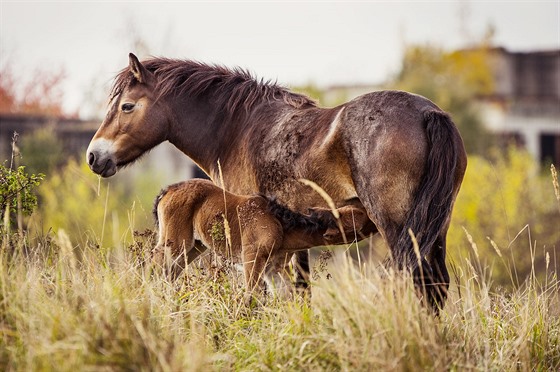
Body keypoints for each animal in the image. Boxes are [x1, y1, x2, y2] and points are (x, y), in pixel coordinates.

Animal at [153, 179, 372, 298]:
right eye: (359, 215)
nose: (372, 212)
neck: (281, 225)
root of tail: (168, 189)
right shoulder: (252, 259)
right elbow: (252, 296)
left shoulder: (273, 269)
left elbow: (285, 297)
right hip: (174, 243)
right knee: (153, 264)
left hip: (193, 247)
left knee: (168, 273)